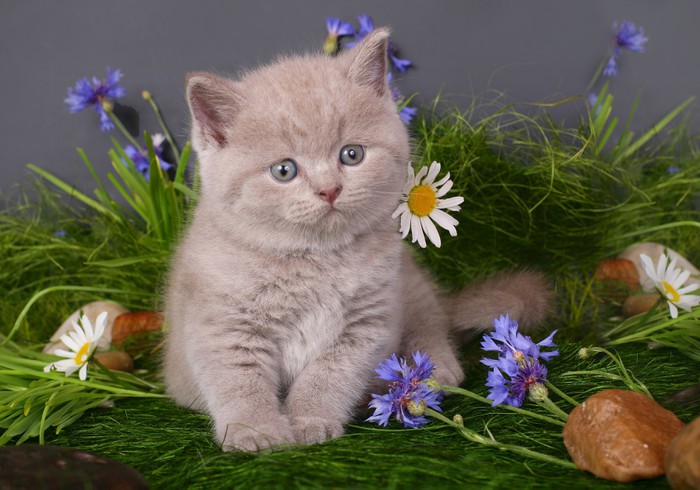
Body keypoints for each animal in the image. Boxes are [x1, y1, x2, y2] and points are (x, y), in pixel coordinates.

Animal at [164, 28, 552, 452]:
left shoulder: (368, 323)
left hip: (412, 286)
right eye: (284, 171)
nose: (329, 190)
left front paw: (310, 419)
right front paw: (258, 431)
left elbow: (330, 376)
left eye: (352, 154)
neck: (312, 259)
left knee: (432, 321)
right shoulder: (224, 326)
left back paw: (431, 370)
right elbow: (238, 381)